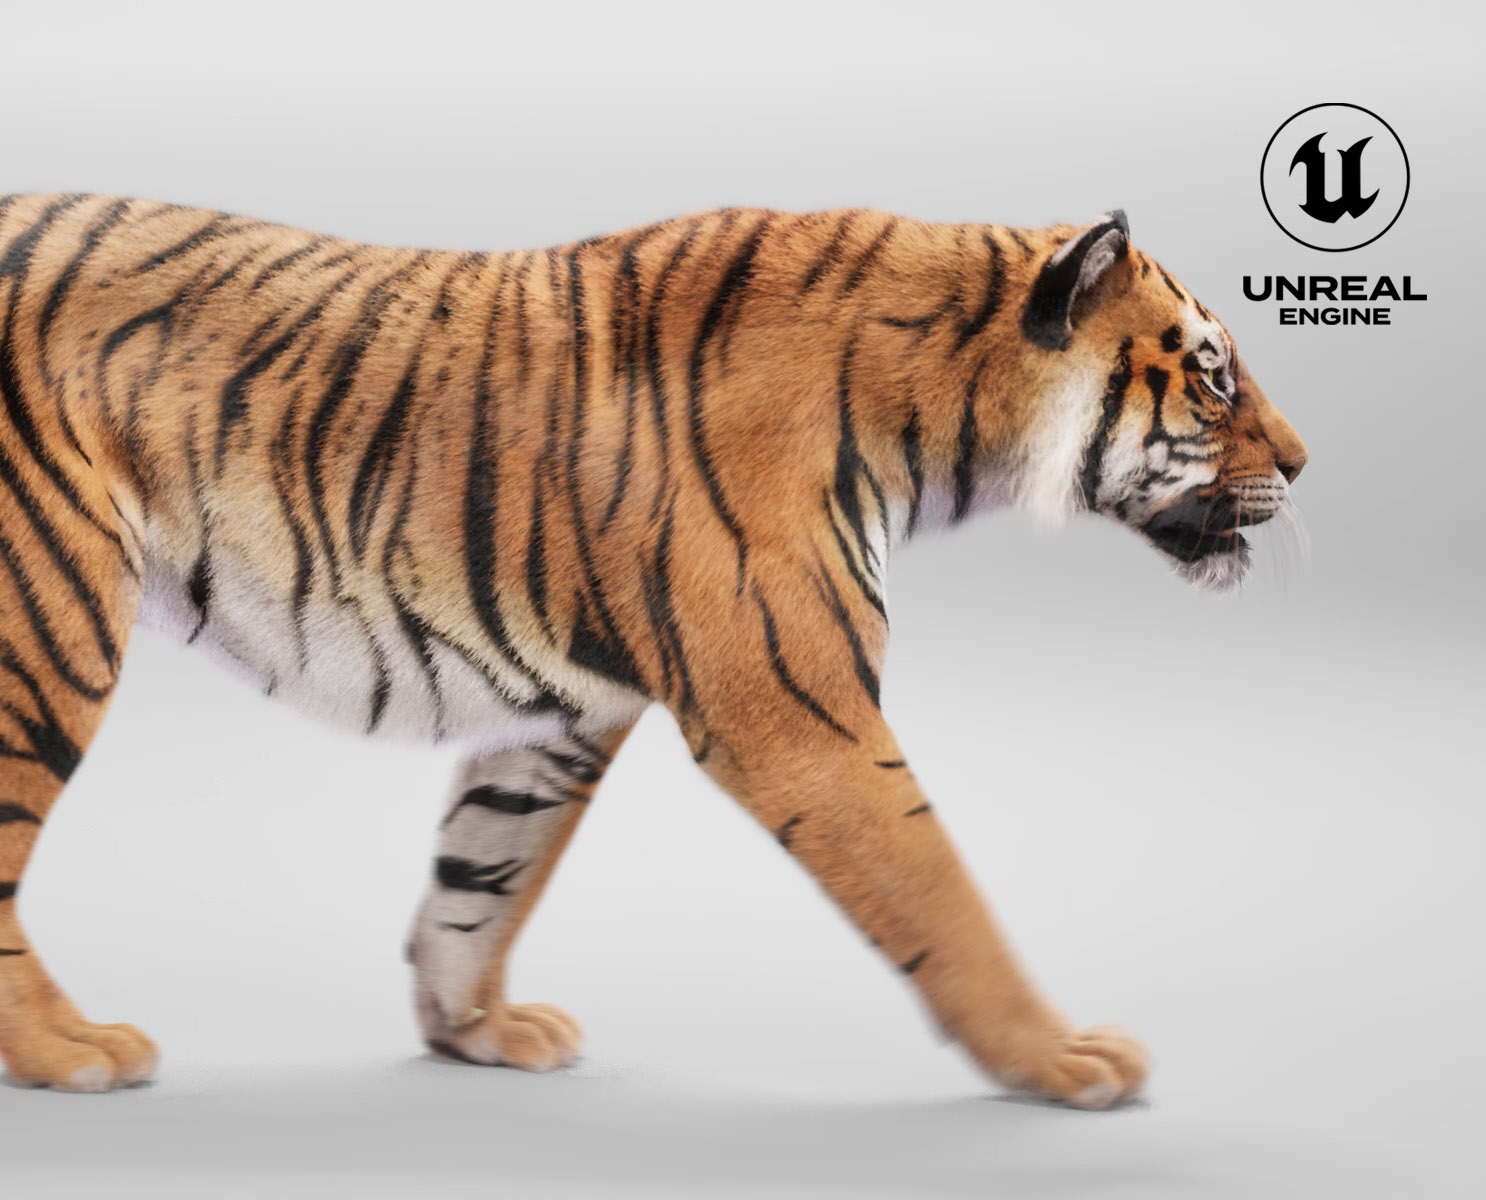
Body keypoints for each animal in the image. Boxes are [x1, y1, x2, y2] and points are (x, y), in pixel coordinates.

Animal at [0, 195, 1306, 1108]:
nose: (1301, 462)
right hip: (47, 630)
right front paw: (1063, 1056)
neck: (934, 414)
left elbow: (482, 877)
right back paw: (70, 1050)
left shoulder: (559, 720)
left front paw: (475, 1031)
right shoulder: (802, 718)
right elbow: (943, 895)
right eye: (1212, 375)